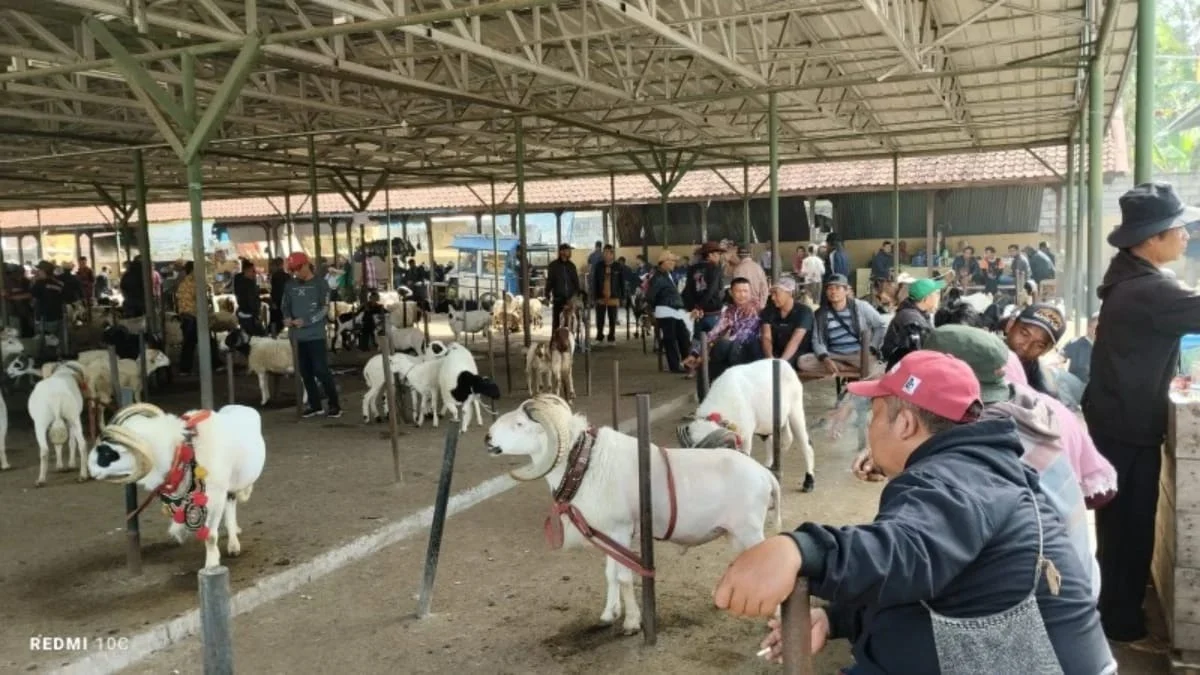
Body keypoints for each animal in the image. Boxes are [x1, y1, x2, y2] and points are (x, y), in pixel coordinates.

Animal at [85, 398, 268, 566]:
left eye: (108, 453)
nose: (90, 470)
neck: (183, 450)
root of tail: (240, 406)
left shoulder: (216, 497)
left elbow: (210, 535)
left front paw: (211, 565)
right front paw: (178, 532)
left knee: (232, 503)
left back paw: (233, 543)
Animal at [482, 391, 782, 634]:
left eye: (520, 424)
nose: (487, 438)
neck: (587, 464)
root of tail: (766, 476)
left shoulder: (620, 529)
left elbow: (625, 577)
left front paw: (632, 622)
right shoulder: (607, 532)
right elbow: (610, 574)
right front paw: (608, 614)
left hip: (749, 530)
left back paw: (773, 620)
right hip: (735, 533)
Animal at [676, 357, 816, 487]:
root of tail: (783, 362)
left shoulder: (746, 438)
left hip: (796, 411)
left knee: (806, 445)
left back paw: (809, 481)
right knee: (779, 441)